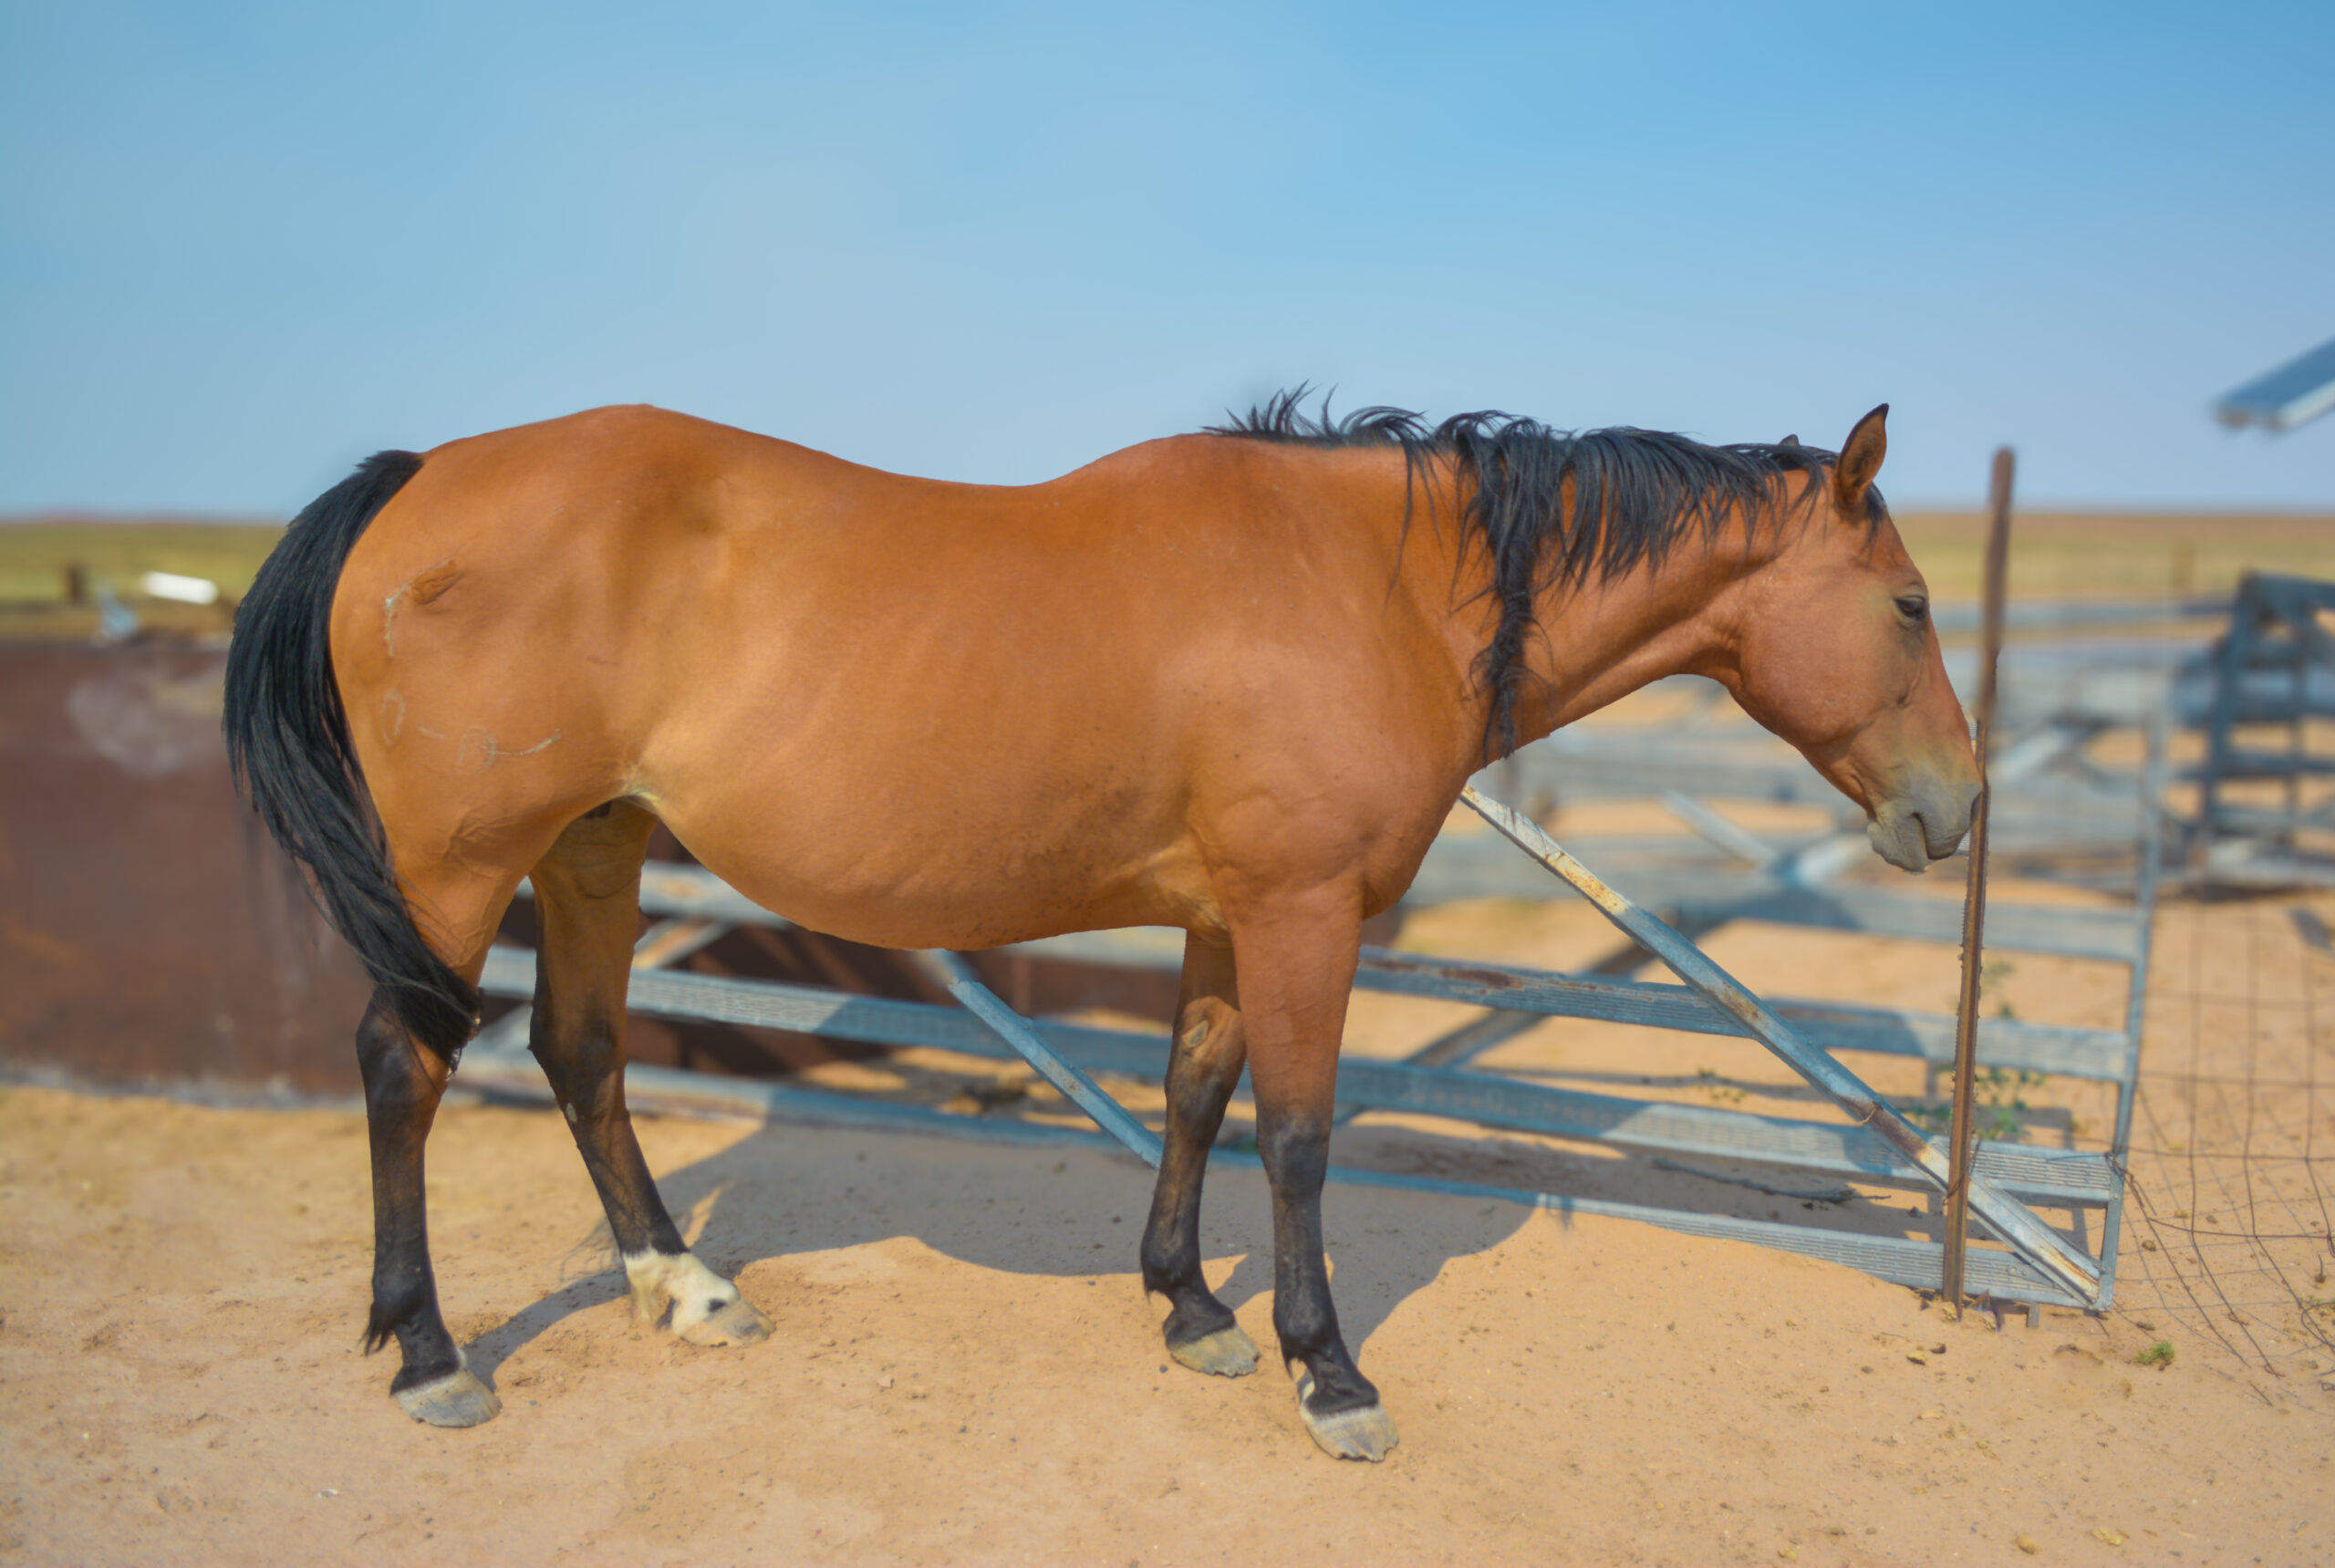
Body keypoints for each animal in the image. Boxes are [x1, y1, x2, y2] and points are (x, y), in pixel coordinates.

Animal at [223, 393, 1976, 1462]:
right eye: (1910, 605)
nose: (1954, 810)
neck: (1374, 583)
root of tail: (417, 478)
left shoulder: (1226, 913)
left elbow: (1196, 1090)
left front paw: (1190, 1306)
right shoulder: (1302, 911)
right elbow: (1299, 1133)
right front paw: (1327, 1367)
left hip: (596, 846)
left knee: (583, 1052)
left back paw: (689, 1290)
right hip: (458, 871)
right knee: (403, 1065)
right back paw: (432, 1349)